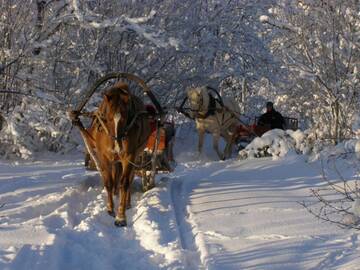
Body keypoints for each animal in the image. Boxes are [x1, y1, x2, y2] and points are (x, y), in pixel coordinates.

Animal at [70, 81, 150, 226]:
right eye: (107, 118)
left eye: (126, 117)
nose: (118, 145)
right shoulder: (104, 157)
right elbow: (109, 182)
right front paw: (110, 208)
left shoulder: (129, 156)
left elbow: (124, 183)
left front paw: (121, 216)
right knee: (115, 179)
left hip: (135, 156)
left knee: (129, 179)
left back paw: (127, 203)